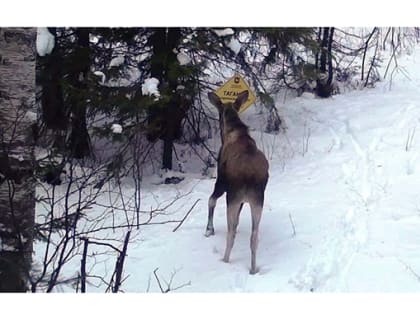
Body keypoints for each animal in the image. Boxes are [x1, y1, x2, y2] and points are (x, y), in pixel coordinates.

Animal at [206, 89, 270, 274]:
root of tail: (250, 176)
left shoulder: (221, 182)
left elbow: (210, 200)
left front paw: (209, 230)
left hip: (232, 198)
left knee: (231, 233)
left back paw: (225, 261)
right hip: (257, 201)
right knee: (254, 237)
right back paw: (253, 269)